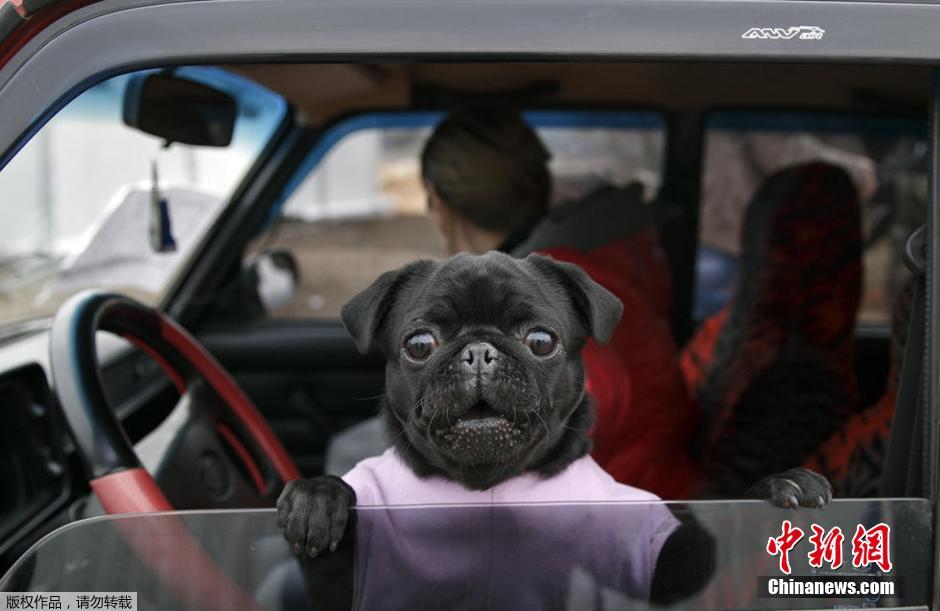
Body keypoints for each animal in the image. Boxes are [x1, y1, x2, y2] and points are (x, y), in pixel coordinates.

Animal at [277, 251, 832, 608]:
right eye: (419, 344)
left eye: (541, 340)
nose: (479, 350)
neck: (487, 487)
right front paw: (317, 497)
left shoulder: (660, 564)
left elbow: (700, 551)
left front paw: (779, 487)